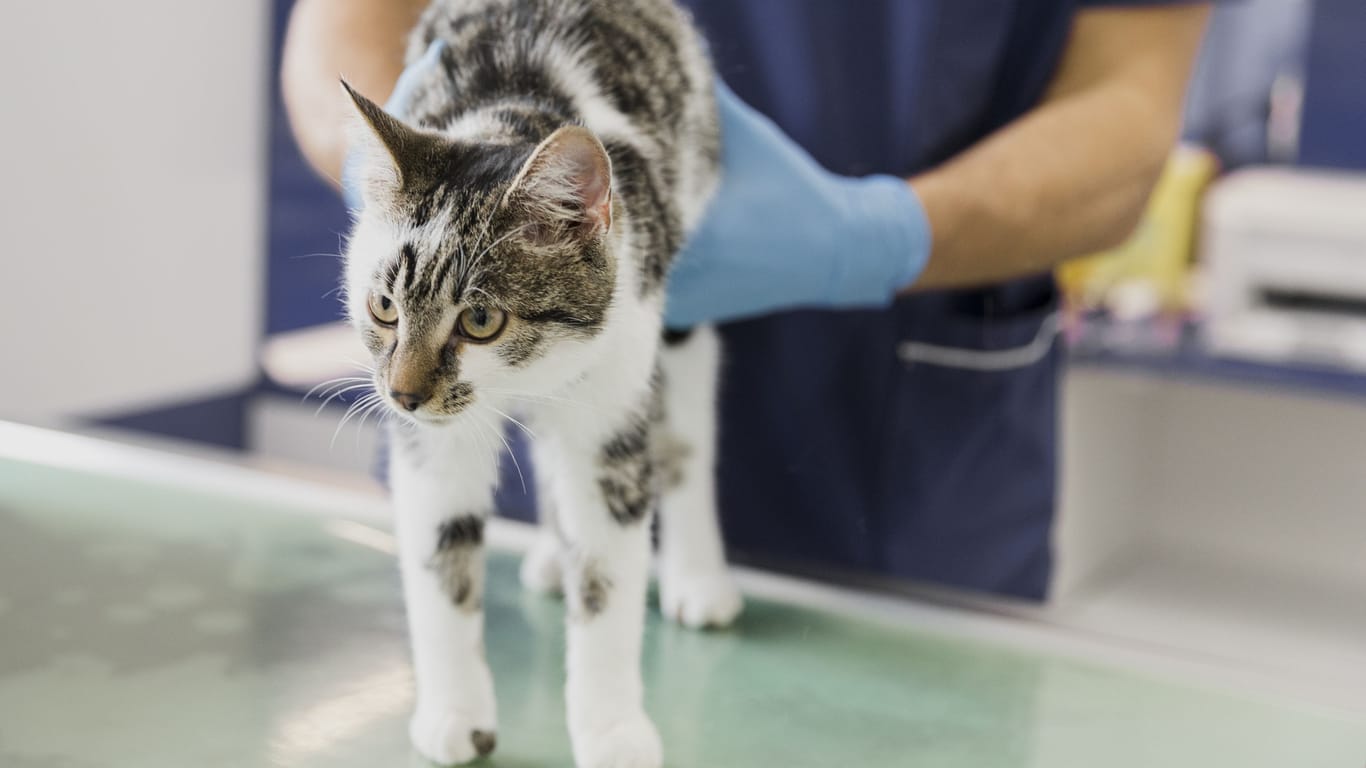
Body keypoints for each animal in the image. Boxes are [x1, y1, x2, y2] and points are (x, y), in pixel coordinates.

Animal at [341, 2, 748, 759]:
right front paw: (454, 712)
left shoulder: (614, 398)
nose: (403, 394)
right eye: (384, 307)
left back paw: (699, 576)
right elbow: (442, 563)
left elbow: (608, 583)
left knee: (685, 440)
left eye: (479, 319)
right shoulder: (434, 445)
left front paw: (612, 729)